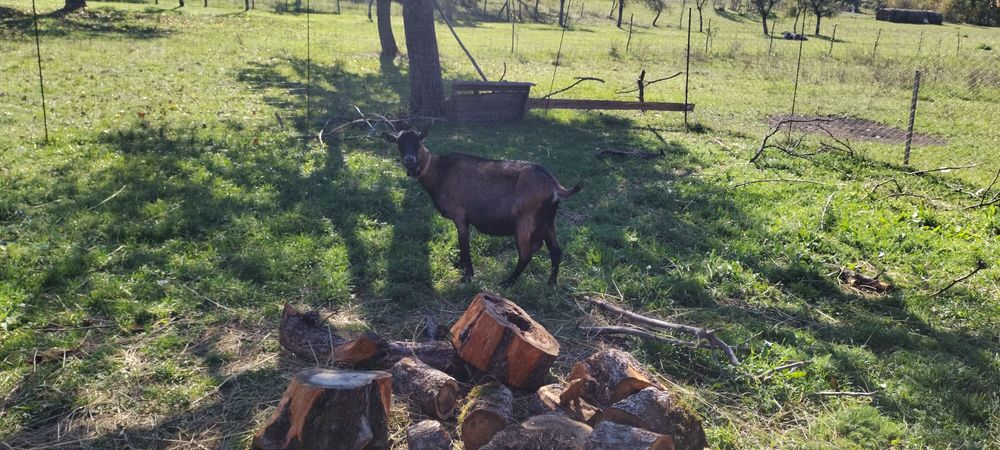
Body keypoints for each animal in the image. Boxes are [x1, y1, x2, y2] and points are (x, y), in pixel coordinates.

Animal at [383, 129, 580, 287]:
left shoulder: (460, 215)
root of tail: (555, 187)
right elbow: (461, 243)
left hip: (525, 222)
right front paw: (460, 265)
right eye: (399, 143)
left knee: (526, 254)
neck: (440, 172)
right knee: (556, 251)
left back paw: (507, 282)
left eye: (418, 140)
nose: (409, 160)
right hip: (547, 222)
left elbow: (464, 244)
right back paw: (551, 284)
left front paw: (467, 275)